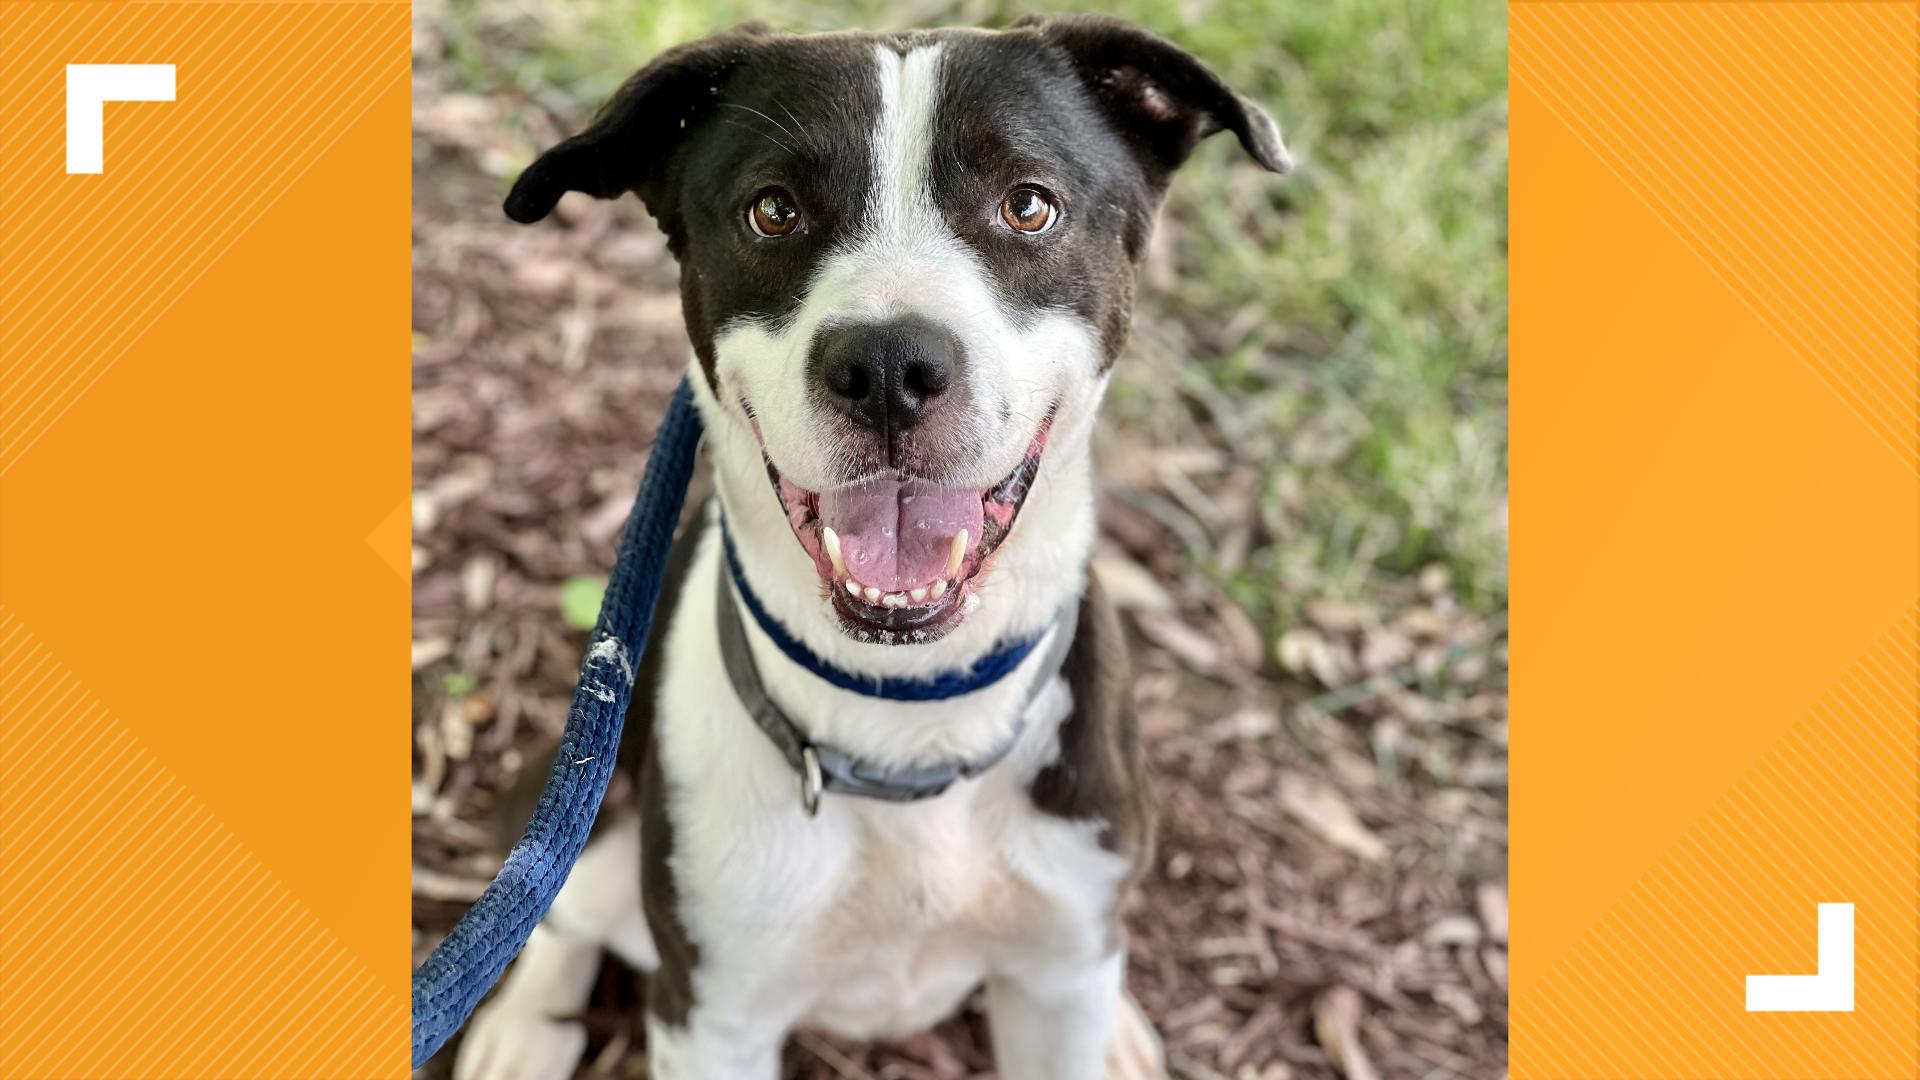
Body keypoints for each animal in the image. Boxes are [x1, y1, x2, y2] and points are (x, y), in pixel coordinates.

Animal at [455, 16, 1282, 1076]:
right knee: (551, 908)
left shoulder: (1058, 978)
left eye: (1028, 205)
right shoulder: (711, 1018)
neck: (910, 724)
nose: (889, 366)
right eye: (773, 211)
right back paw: (523, 1026)